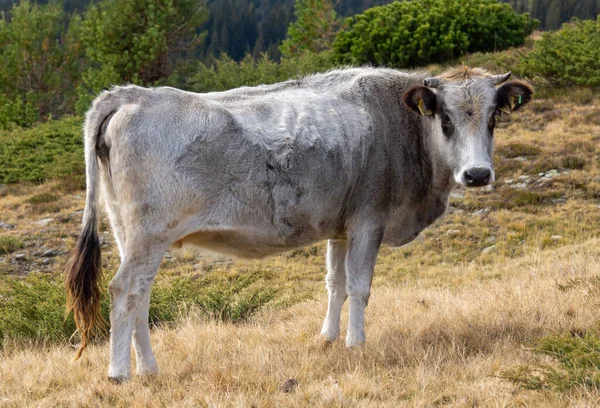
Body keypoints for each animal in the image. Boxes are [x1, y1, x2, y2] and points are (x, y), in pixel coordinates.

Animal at [65, 65, 532, 380]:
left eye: (493, 118)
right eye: (446, 120)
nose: (477, 174)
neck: (401, 128)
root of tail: (131, 95)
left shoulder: (340, 227)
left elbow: (335, 283)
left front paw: (328, 340)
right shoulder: (368, 221)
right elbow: (360, 287)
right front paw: (357, 344)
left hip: (128, 233)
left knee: (140, 298)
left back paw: (149, 368)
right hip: (150, 235)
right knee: (124, 290)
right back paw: (119, 373)